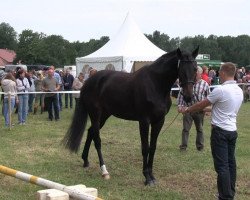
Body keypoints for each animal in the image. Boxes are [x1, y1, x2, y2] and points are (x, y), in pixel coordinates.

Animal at [63, 47, 199, 186]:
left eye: (195, 68)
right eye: (181, 69)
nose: (188, 97)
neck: (155, 83)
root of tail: (89, 81)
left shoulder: (159, 121)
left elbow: (153, 147)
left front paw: (152, 176)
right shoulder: (144, 121)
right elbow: (145, 148)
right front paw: (147, 177)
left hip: (104, 115)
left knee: (91, 132)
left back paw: (85, 160)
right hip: (95, 114)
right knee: (97, 139)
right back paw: (104, 171)